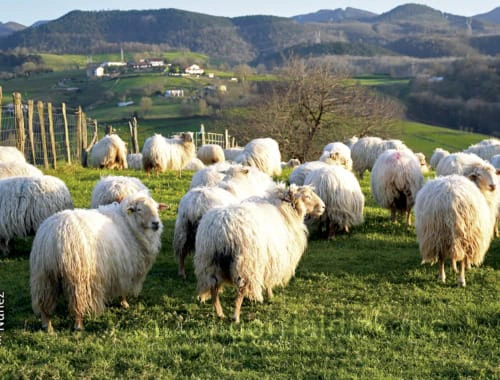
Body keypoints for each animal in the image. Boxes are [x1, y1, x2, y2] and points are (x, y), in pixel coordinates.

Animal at [29, 191, 168, 332]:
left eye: (157, 208)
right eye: (139, 209)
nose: (156, 223)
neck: (129, 224)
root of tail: (55, 235)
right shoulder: (124, 268)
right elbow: (123, 289)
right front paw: (124, 303)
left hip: (44, 277)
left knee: (44, 303)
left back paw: (47, 326)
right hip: (77, 278)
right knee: (77, 303)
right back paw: (78, 325)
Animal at [193, 184, 326, 320]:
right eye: (307, 196)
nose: (323, 207)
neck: (284, 212)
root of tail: (222, 228)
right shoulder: (274, 258)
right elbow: (269, 280)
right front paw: (270, 295)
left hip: (209, 262)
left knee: (213, 288)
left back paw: (220, 314)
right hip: (245, 263)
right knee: (240, 290)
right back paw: (235, 316)